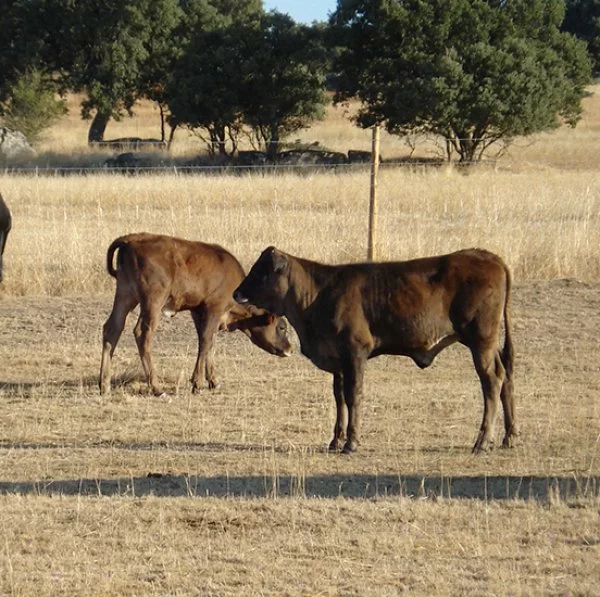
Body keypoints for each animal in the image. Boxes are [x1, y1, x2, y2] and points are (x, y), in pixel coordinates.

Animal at [99, 234, 292, 396]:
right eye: (282, 327)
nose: (289, 349)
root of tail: (130, 240)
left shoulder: (197, 311)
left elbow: (209, 343)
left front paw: (213, 381)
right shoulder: (214, 308)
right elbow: (206, 341)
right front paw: (197, 383)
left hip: (125, 295)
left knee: (112, 329)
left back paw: (104, 385)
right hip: (153, 302)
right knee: (142, 334)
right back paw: (156, 387)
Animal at [234, 246, 516, 452]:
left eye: (260, 272)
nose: (237, 293)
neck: (318, 294)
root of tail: (487, 256)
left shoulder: (355, 352)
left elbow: (353, 395)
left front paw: (351, 442)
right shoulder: (338, 361)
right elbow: (339, 397)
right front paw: (336, 439)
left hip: (481, 339)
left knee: (492, 380)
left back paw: (482, 441)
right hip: (485, 343)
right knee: (506, 376)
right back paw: (509, 436)